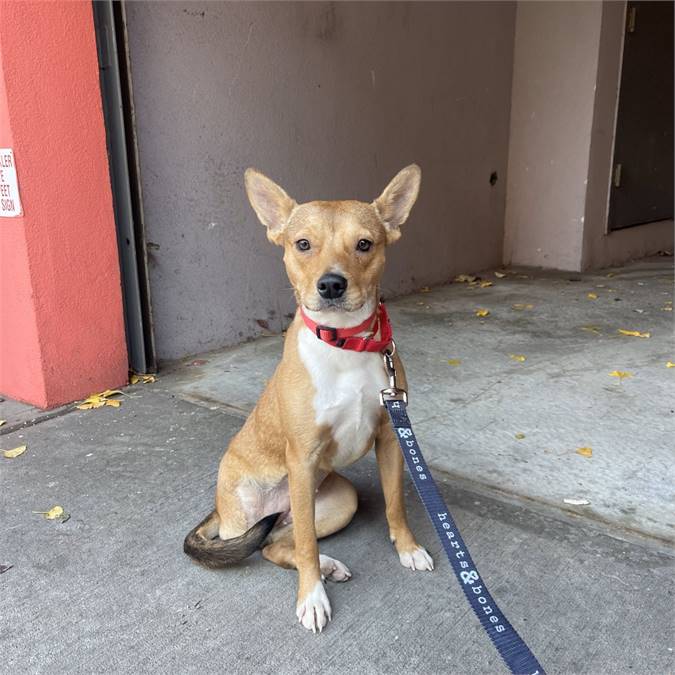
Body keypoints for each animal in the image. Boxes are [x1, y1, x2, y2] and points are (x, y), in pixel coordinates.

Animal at [184, 164, 434, 632]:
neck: (346, 346)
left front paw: (408, 547)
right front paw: (312, 598)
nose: (332, 284)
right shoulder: (301, 459)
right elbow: (305, 549)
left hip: (341, 503)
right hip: (257, 511)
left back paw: (330, 565)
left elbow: (395, 505)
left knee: (279, 544)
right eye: (303, 244)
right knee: (284, 545)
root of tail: (219, 510)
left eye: (364, 244)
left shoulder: (391, 439)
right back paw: (322, 571)